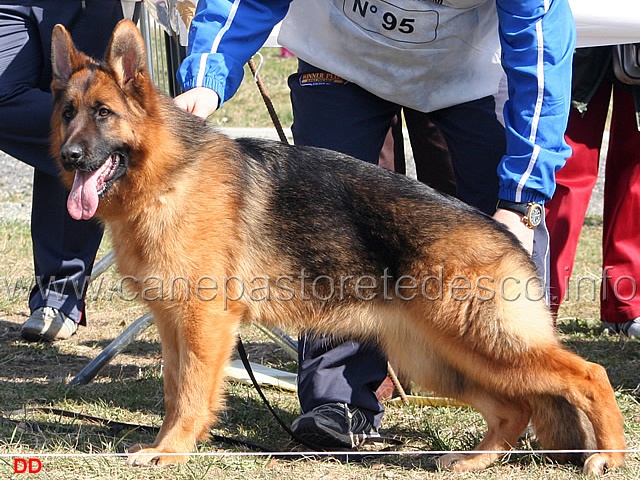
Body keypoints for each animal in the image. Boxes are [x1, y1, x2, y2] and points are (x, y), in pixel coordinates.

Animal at [48, 19, 624, 476]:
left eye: (103, 113)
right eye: (69, 112)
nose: (70, 157)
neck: (166, 175)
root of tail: (504, 234)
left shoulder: (203, 323)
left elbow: (190, 394)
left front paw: (171, 452)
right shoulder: (173, 325)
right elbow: (174, 390)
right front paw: (168, 445)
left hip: (485, 343)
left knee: (588, 375)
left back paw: (609, 455)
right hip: (440, 357)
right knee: (514, 408)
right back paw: (474, 461)